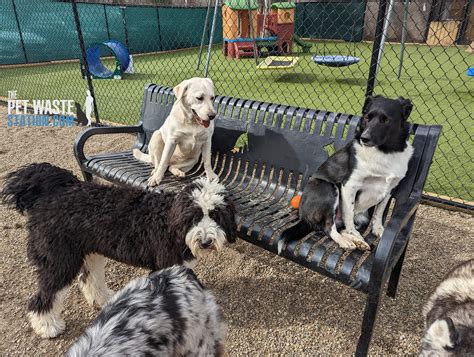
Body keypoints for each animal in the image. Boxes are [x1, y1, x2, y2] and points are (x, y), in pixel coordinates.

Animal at [0, 163, 236, 338]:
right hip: (59, 261)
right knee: (45, 296)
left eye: (216, 215)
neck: (170, 221)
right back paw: (47, 326)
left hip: (91, 252)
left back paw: (102, 299)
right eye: (195, 216)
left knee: (89, 279)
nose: (205, 241)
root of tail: (55, 190)